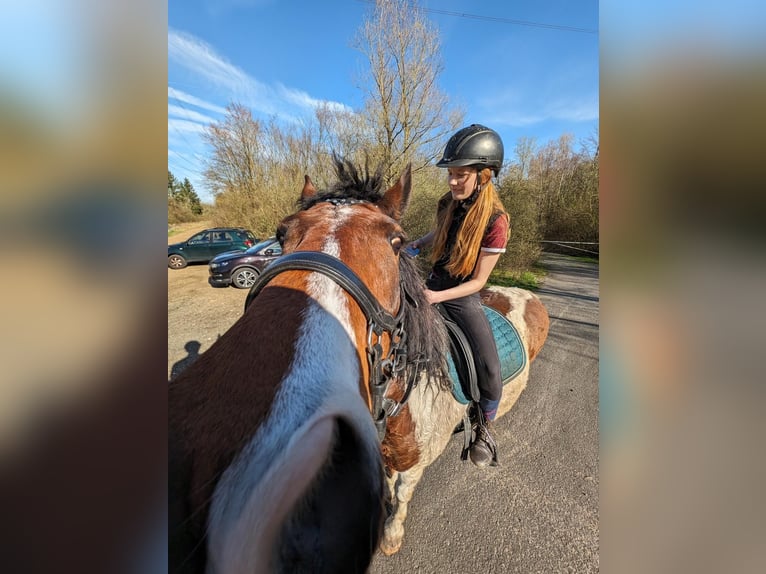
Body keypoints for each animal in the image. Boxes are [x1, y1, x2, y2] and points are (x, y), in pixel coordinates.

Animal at [170, 159, 552, 574]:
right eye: (282, 233)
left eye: (396, 241)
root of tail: (526, 294)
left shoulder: (416, 463)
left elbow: (402, 495)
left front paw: (391, 536)